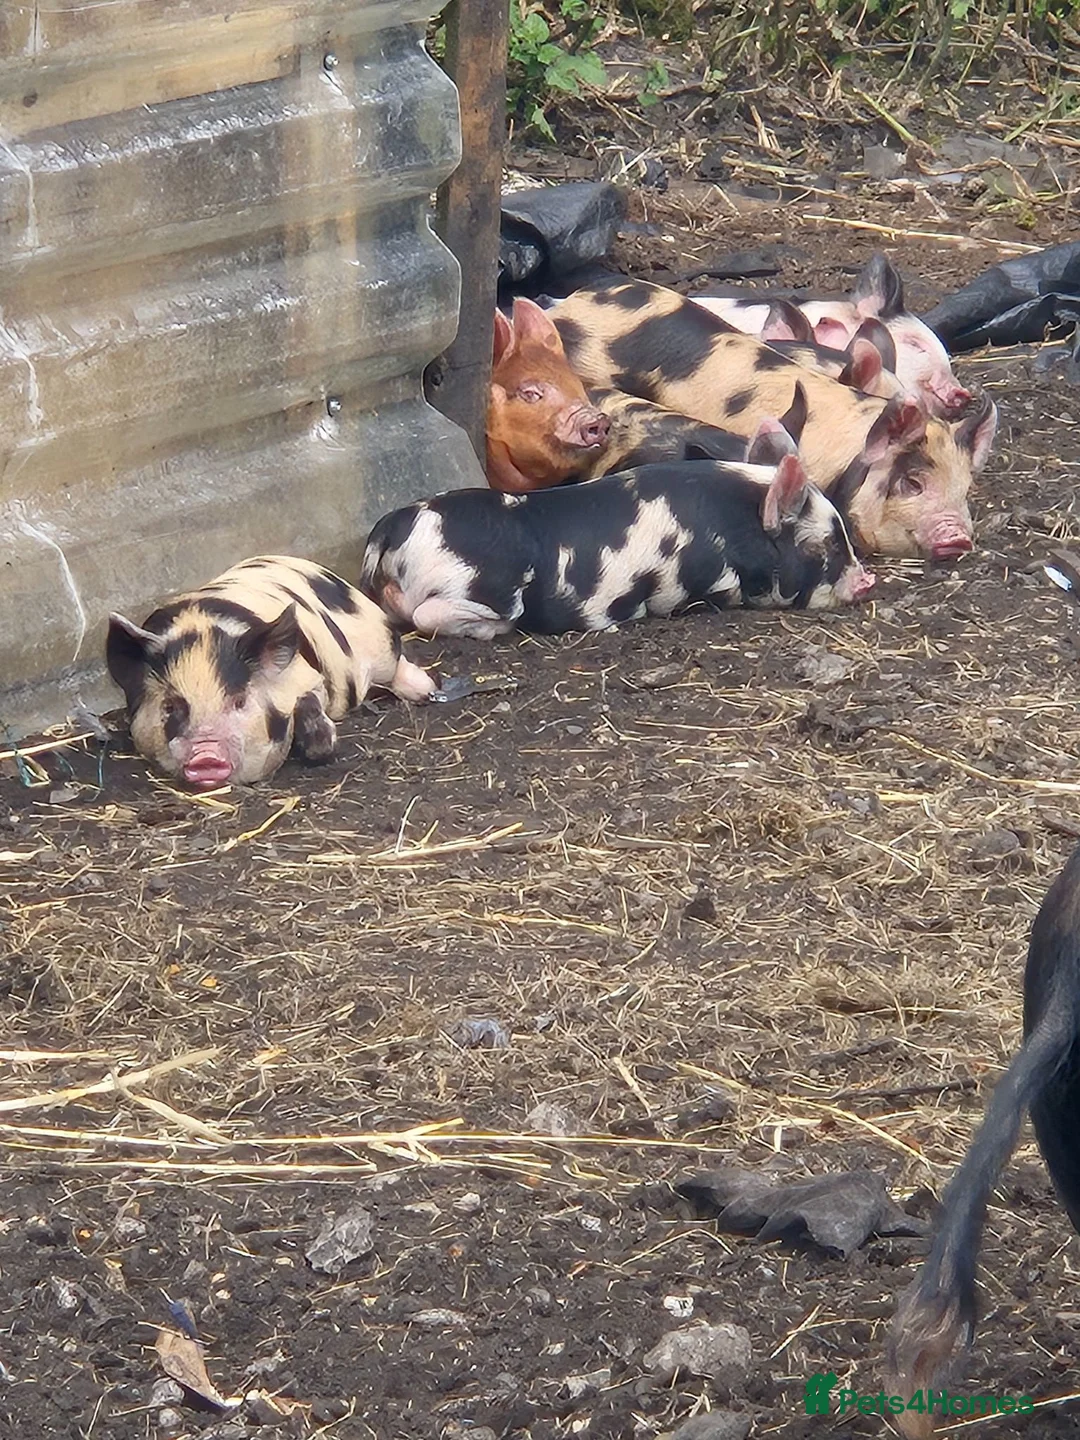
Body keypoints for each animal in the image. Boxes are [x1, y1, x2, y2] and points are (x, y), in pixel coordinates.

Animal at [106, 555, 436, 788]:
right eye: (170, 707)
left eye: (239, 700)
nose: (206, 755)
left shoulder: (308, 677)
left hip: (381, 642)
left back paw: (425, 691)